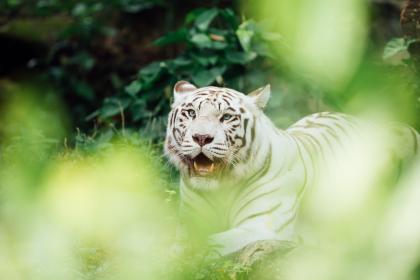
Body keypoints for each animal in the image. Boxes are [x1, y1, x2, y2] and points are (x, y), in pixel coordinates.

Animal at [165, 80, 420, 256]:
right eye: (191, 113)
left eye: (226, 117)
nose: (201, 137)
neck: (221, 188)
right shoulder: (188, 224)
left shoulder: (262, 227)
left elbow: (209, 244)